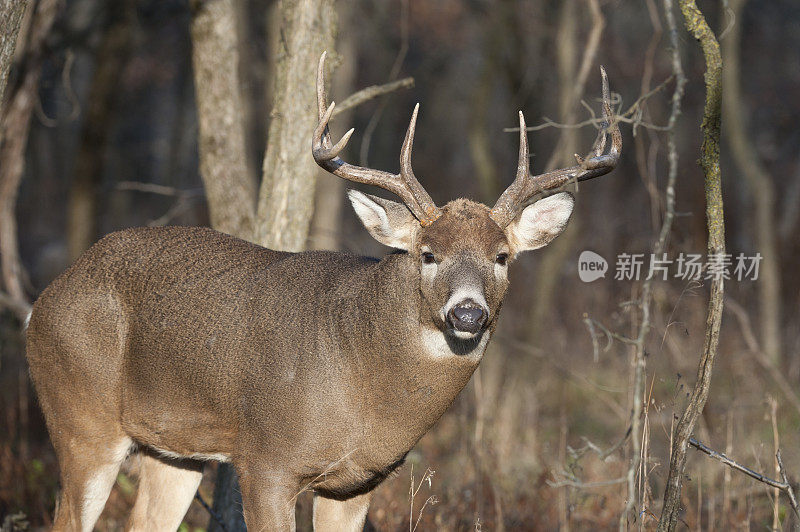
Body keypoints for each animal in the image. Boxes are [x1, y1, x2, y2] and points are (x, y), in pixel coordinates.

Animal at [26, 55, 620, 532]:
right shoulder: (266, 460)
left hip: (173, 448)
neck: (364, 387)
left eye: (502, 256)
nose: (468, 312)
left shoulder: (357, 482)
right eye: (428, 253)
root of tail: (42, 302)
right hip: (81, 417)